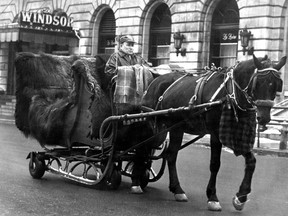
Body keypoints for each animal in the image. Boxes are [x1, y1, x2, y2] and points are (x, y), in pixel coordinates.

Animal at [142, 54, 286, 211]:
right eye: (258, 83)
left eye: (277, 84)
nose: (264, 118)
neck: (230, 93)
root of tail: (156, 80)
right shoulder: (216, 133)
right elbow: (215, 164)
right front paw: (212, 197)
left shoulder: (237, 134)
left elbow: (251, 161)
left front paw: (241, 197)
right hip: (161, 125)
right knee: (152, 150)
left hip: (176, 127)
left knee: (170, 155)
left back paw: (176, 189)